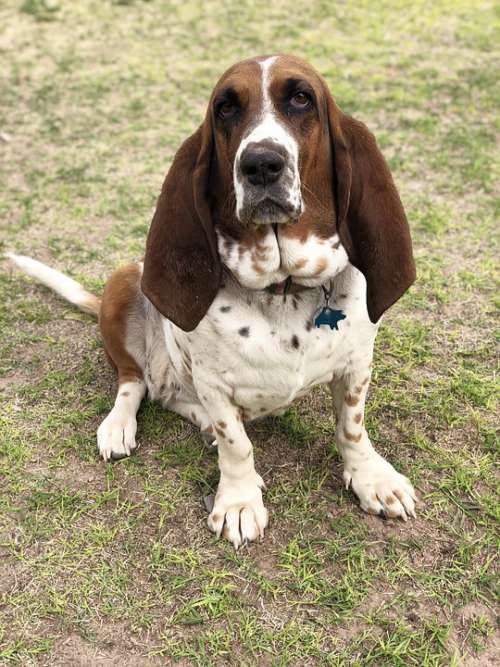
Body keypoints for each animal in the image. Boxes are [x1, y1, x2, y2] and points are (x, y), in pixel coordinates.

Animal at [9, 54, 420, 548]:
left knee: (165, 394)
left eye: (302, 98)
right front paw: (239, 502)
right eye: (226, 108)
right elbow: (236, 444)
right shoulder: (214, 384)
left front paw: (372, 479)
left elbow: (352, 428)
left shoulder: (356, 365)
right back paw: (119, 425)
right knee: (136, 381)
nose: (261, 164)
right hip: (125, 279)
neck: (282, 289)